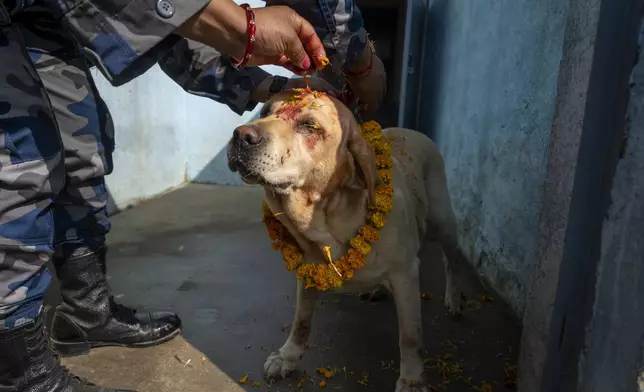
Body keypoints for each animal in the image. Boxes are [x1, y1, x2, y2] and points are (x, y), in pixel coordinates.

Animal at [226, 89, 462, 392]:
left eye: (310, 125)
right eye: (266, 110)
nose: (241, 136)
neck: (325, 220)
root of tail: (412, 131)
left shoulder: (405, 274)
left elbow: (410, 336)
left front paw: (412, 379)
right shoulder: (307, 273)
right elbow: (301, 321)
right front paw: (288, 355)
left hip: (442, 221)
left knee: (452, 259)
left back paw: (454, 298)